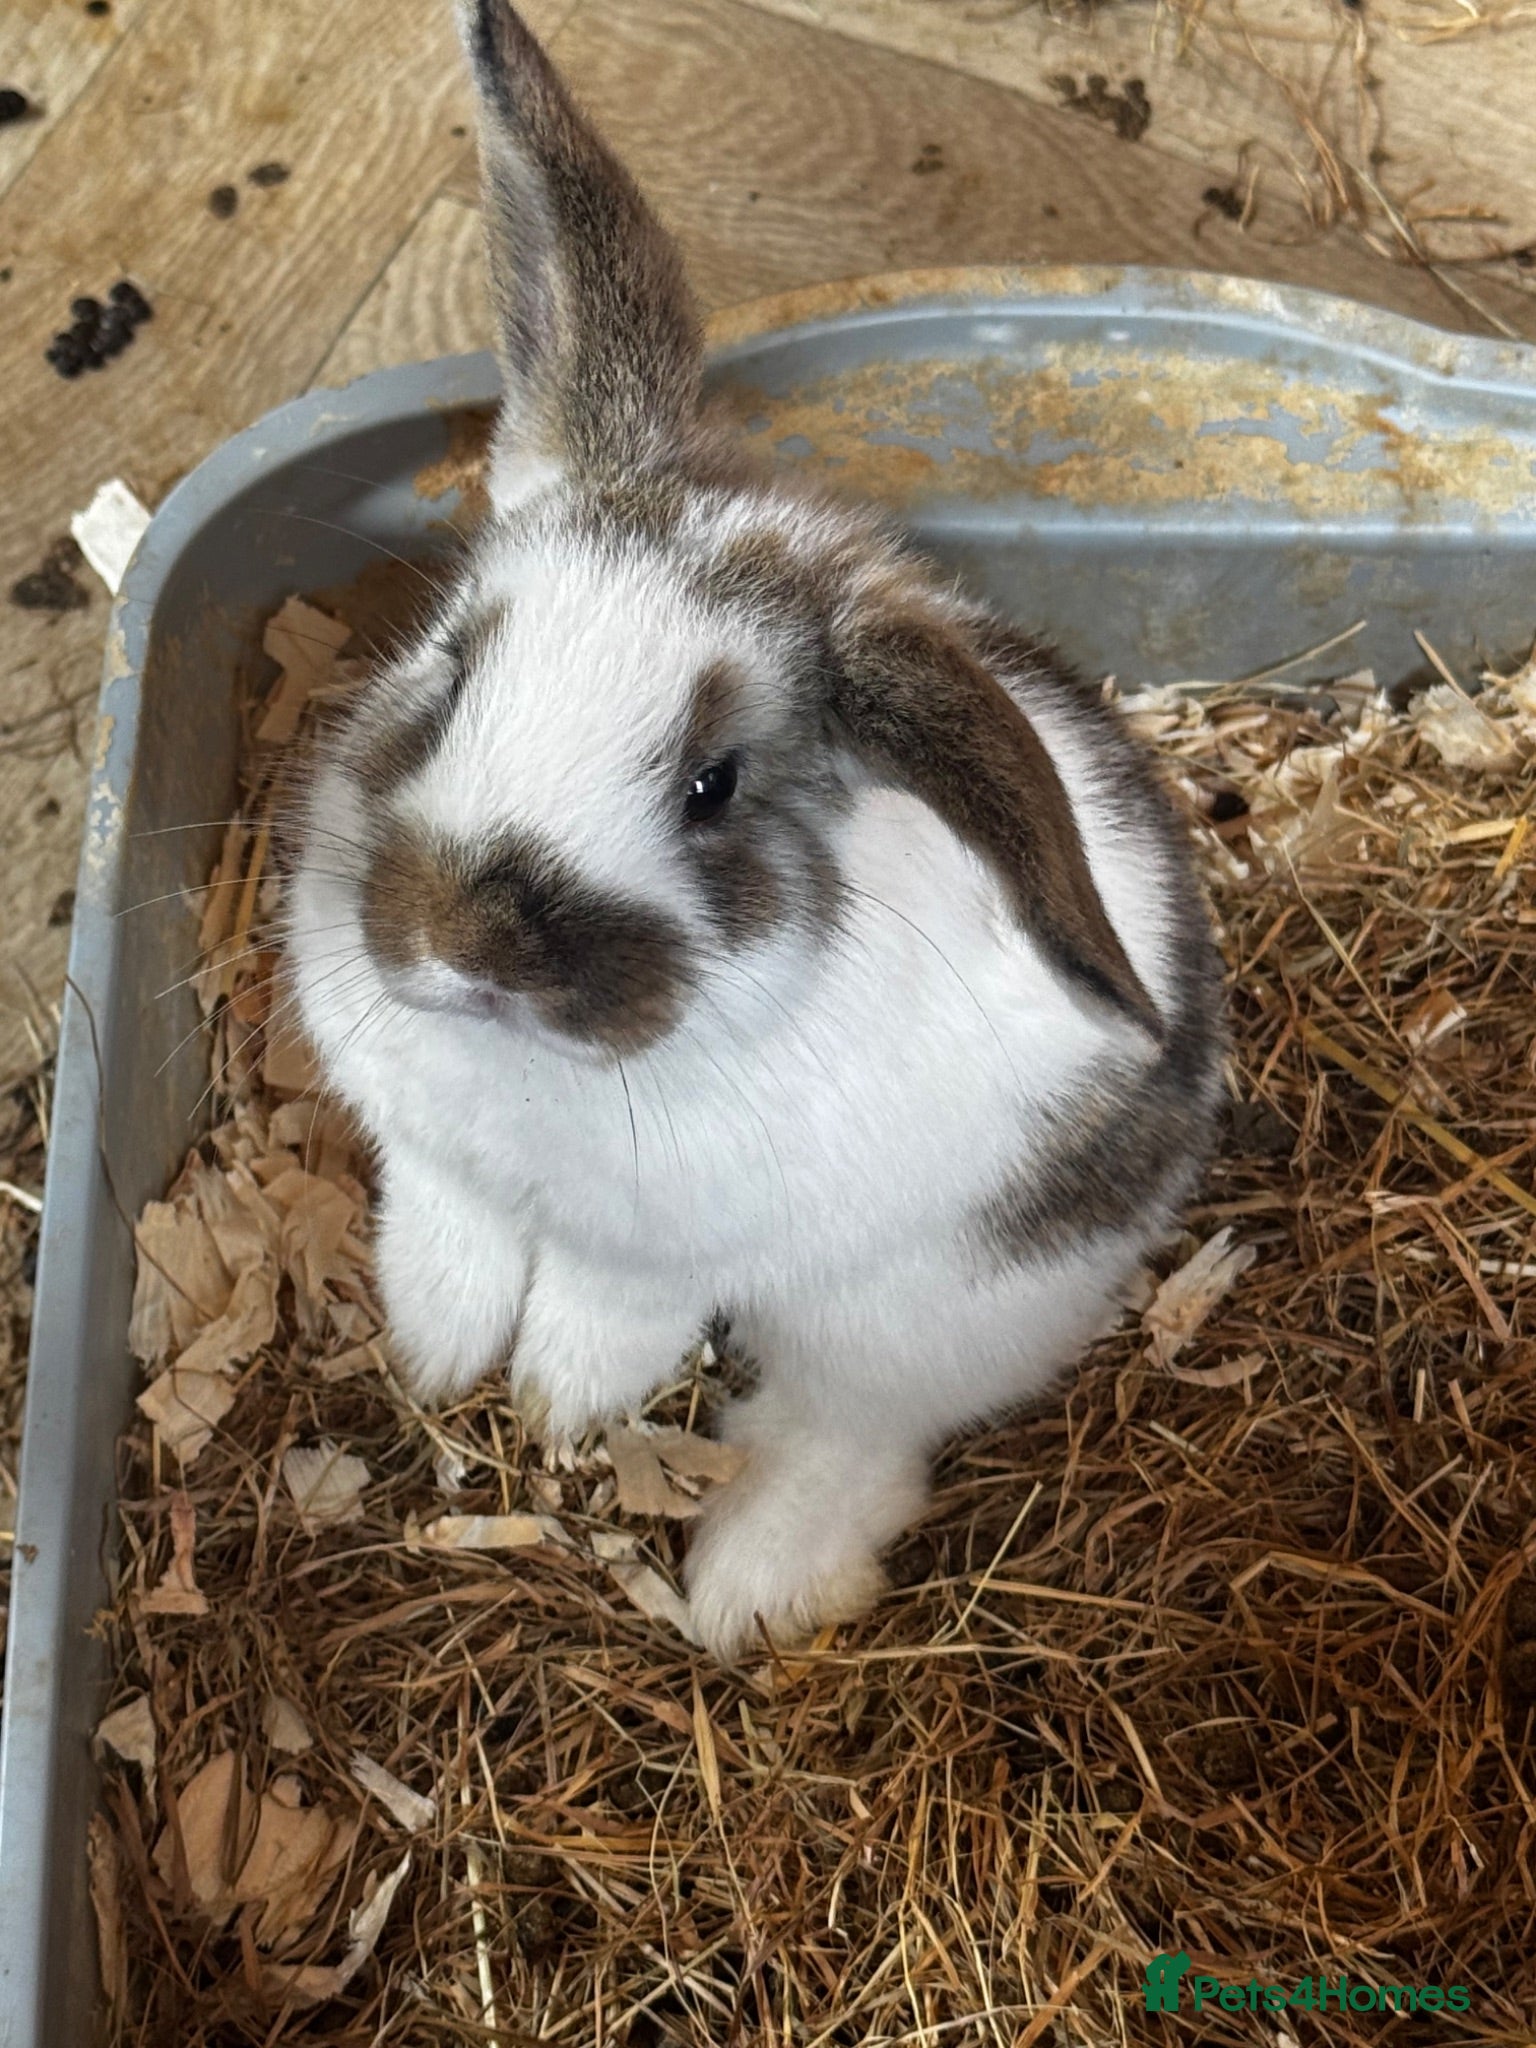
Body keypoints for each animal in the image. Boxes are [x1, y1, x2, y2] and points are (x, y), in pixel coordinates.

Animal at [286, 0, 1226, 1662]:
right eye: (454, 663)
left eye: (714, 786)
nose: (458, 945)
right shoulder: (431, 1153)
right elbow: (448, 1234)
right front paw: (437, 1352)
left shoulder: (664, 1254)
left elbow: (608, 1320)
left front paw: (556, 1403)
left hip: (931, 1305)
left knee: (859, 1428)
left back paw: (747, 1584)